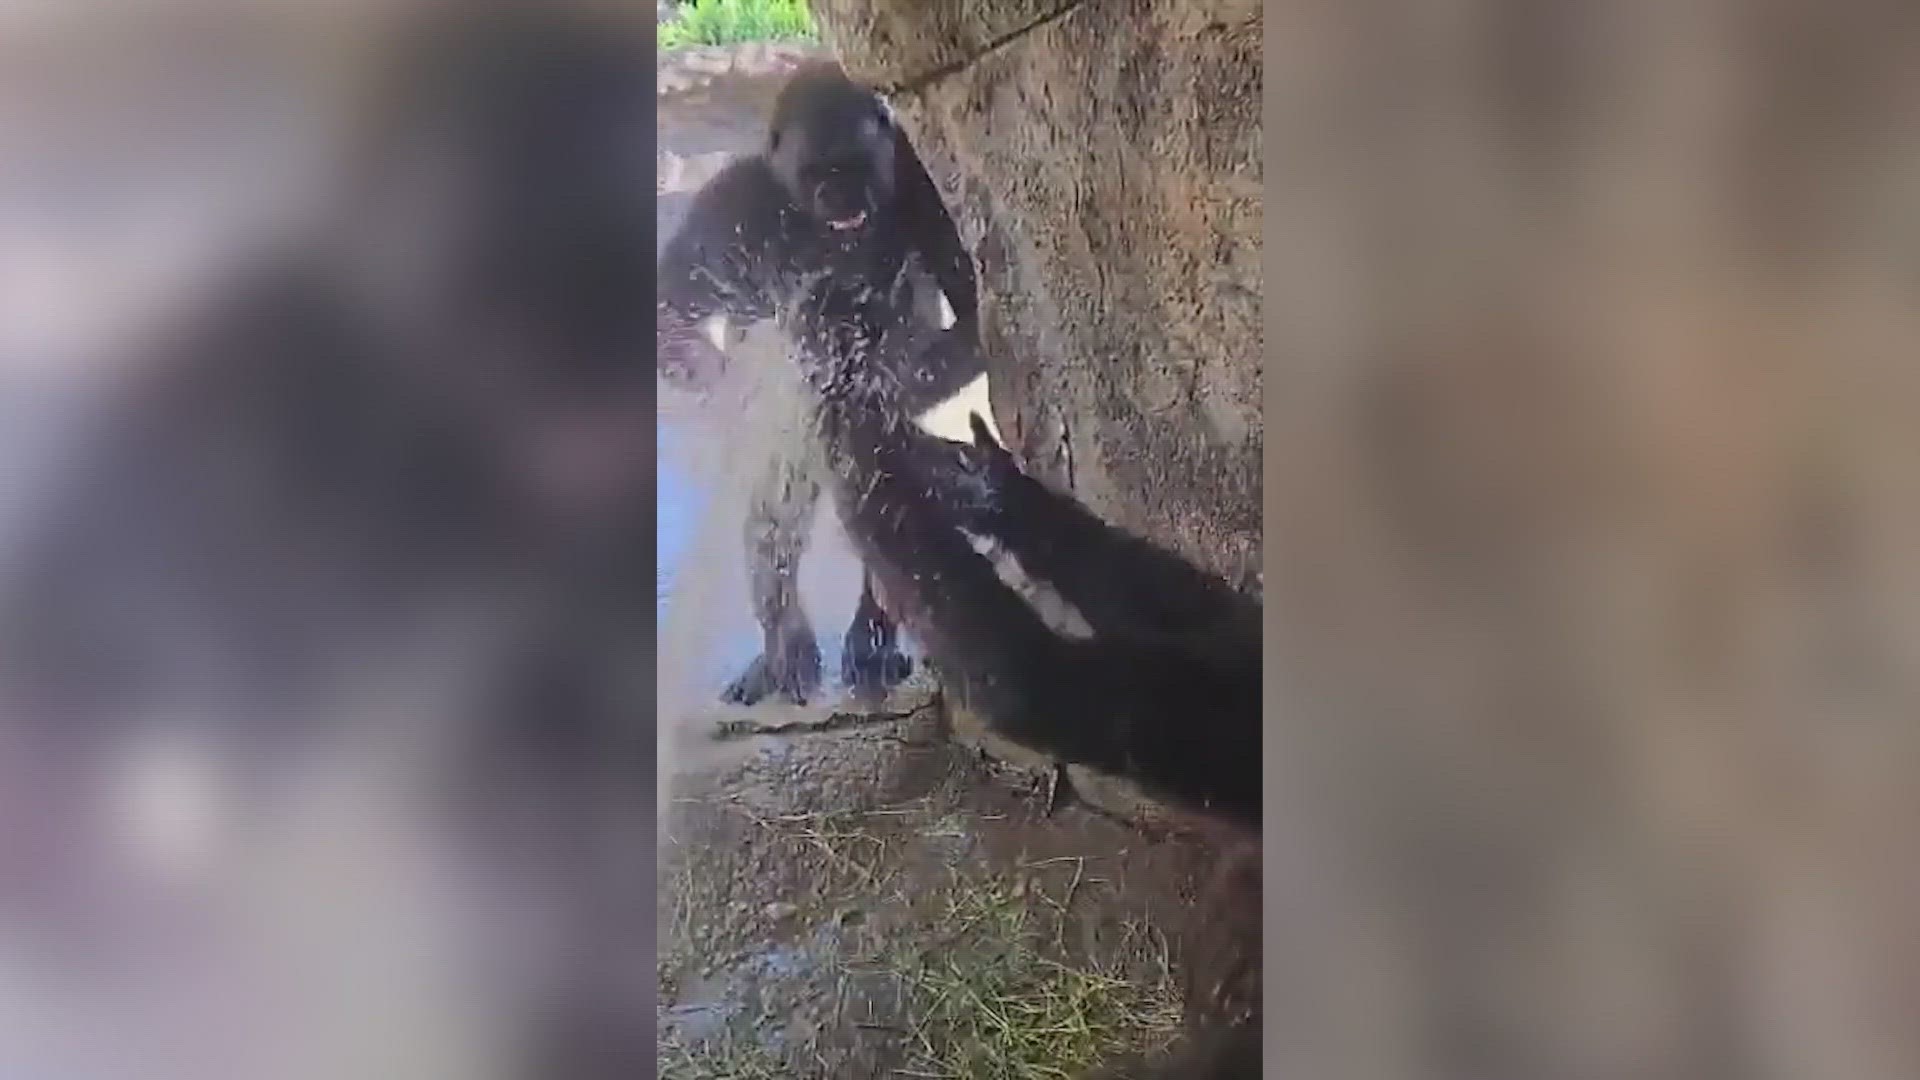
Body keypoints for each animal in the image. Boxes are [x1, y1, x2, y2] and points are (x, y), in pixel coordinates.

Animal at [664, 65, 990, 707]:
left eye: (855, 169)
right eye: (819, 174)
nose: (842, 201)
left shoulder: (923, 194)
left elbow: (968, 310)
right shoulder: (733, 201)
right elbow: (675, 296)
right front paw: (713, 369)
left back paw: (872, 640)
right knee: (772, 511)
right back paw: (781, 646)